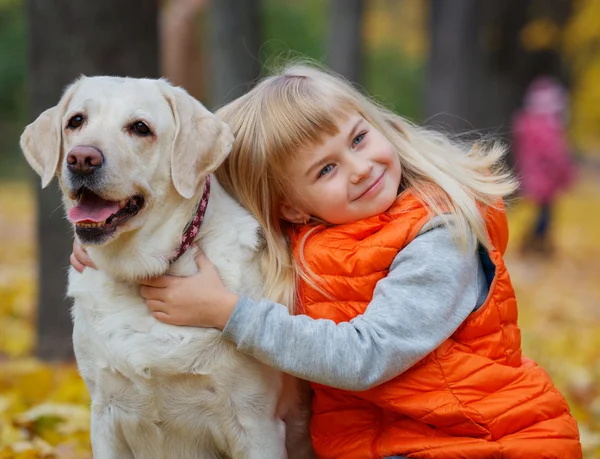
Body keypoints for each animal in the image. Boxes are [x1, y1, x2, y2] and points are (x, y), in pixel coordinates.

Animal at [21, 78, 312, 459]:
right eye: (76, 121)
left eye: (140, 128)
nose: (82, 158)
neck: (142, 273)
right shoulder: (103, 415)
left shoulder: (256, 424)